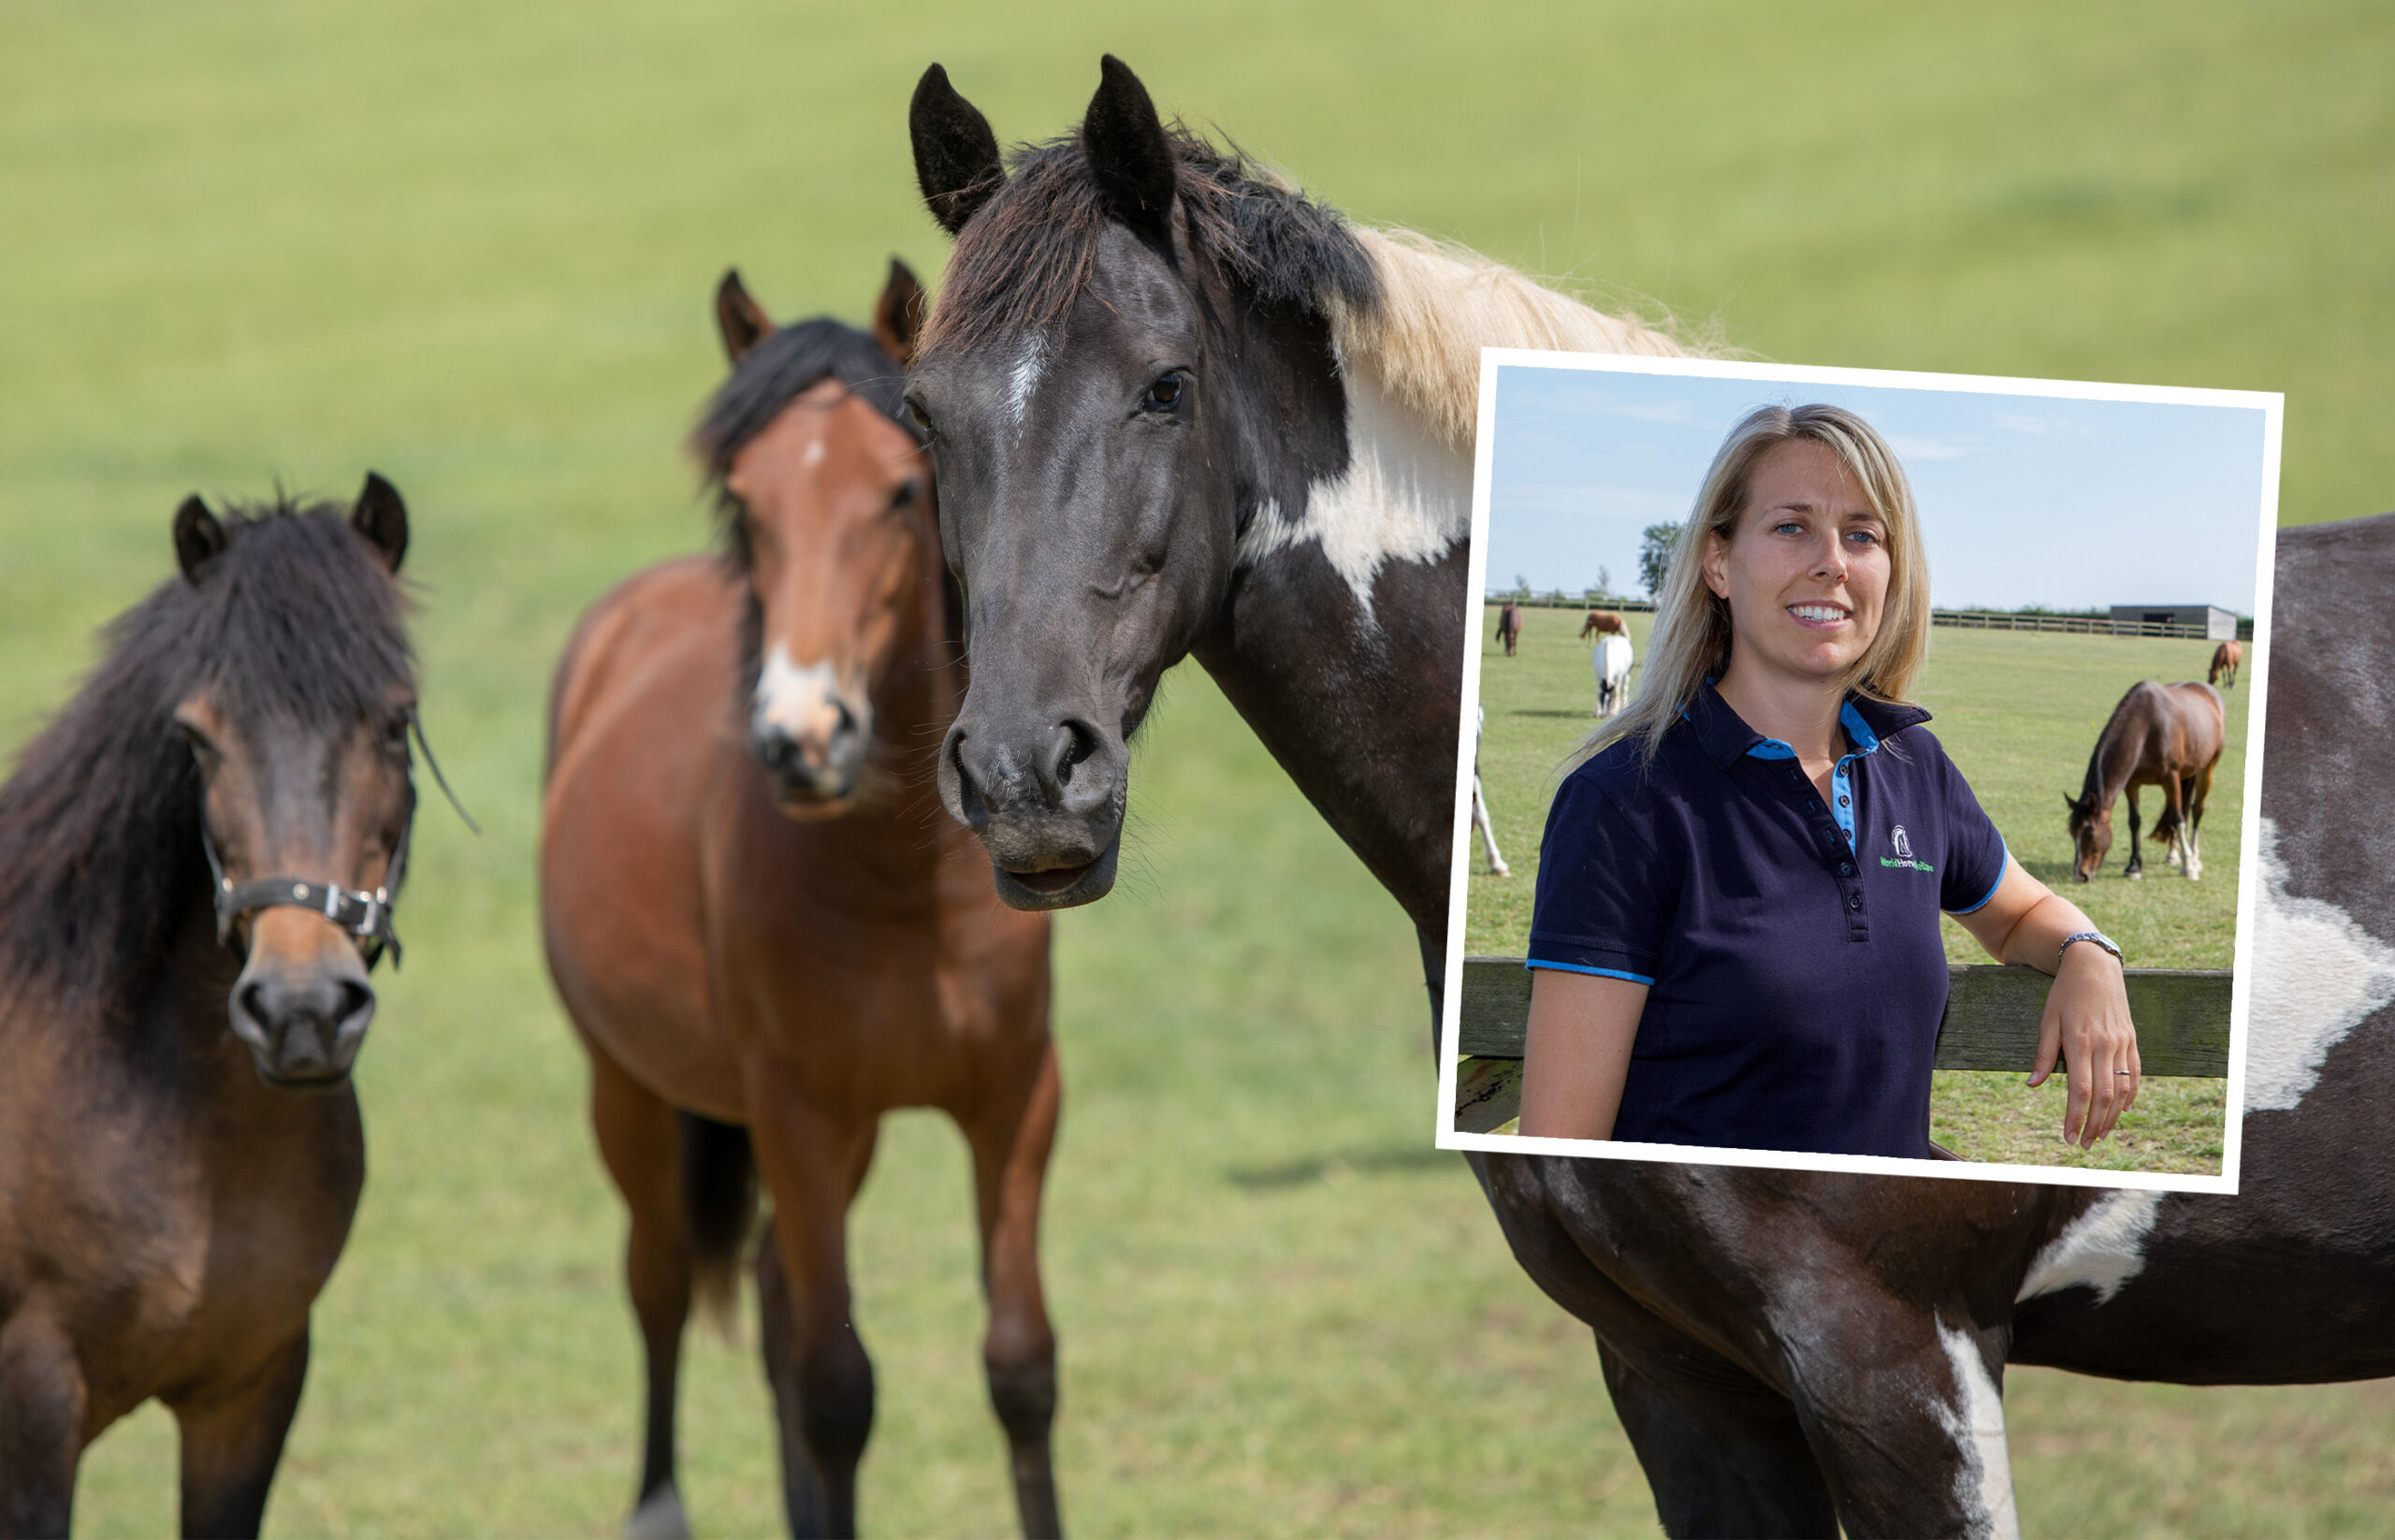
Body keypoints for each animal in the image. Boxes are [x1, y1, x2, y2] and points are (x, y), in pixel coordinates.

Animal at [550, 268, 1067, 1540]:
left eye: (900, 488)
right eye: (747, 500)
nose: (801, 735)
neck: (901, 890)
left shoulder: (1015, 1103)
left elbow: (1019, 1366)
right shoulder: (796, 1116)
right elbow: (839, 1388)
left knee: (777, 1291)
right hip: (631, 1093)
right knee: (662, 1283)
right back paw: (659, 1502)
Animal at [2059, 685, 2222, 886]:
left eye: (2090, 833)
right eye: (2073, 833)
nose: (2079, 875)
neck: (2147, 729)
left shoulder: (2171, 779)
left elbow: (2178, 820)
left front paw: (2189, 868)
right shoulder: (2132, 783)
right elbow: (2134, 821)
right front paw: (2134, 867)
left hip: (2207, 769)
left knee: (2196, 810)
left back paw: (2195, 859)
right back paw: (2173, 855)